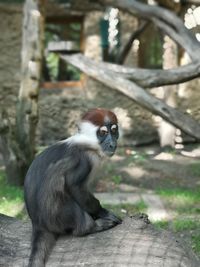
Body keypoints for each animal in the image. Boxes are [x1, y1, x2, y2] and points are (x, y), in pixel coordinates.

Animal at [24, 108, 121, 267]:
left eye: (114, 131)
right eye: (103, 133)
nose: (112, 143)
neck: (89, 144)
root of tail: (38, 223)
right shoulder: (84, 160)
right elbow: (73, 185)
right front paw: (103, 212)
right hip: (57, 214)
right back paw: (91, 226)